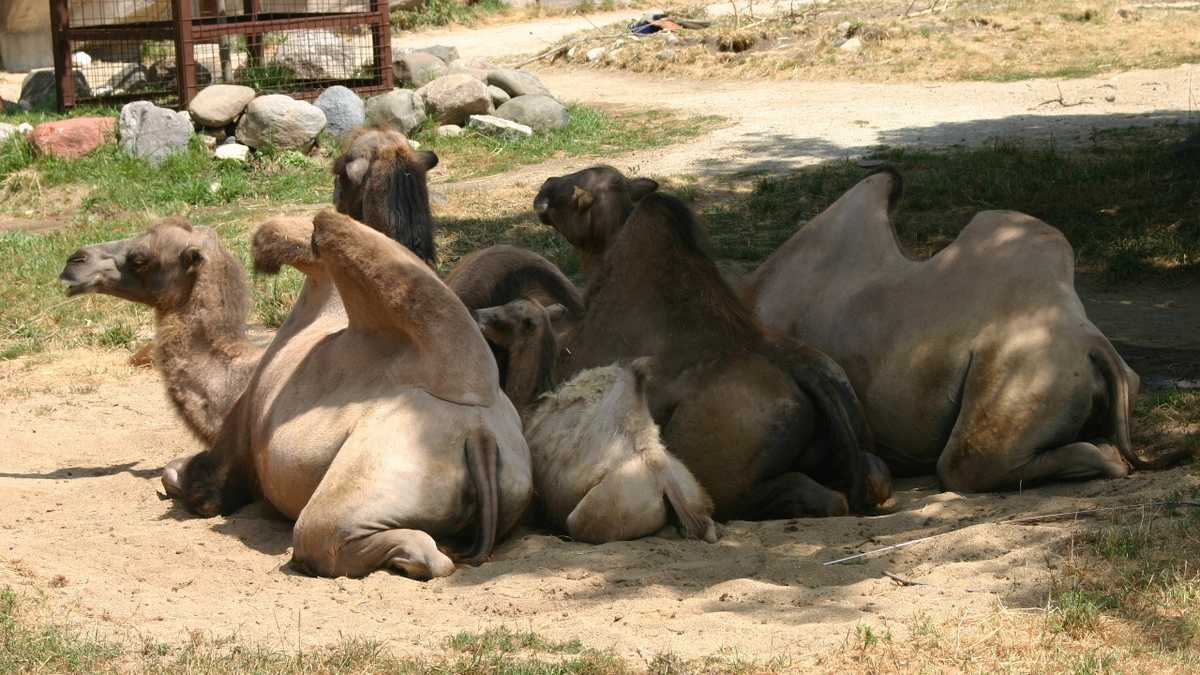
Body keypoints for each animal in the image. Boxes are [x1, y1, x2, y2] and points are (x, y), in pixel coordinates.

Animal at [473, 298, 717, 543]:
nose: (476, 313)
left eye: (501, 316)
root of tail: (668, 484)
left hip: (591, 515)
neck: (532, 402)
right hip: (695, 492)